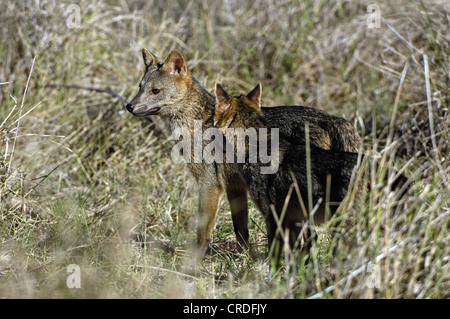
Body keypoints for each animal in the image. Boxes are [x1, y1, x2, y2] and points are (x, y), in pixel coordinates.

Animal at [125, 48, 362, 260]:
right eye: (140, 88)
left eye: (155, 91)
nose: (129, 106)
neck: (199, 122)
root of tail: (334, 119)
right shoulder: (235, 186)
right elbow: (241, 231)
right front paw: (244, 259)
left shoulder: (210, 184)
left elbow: (203, 234)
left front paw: (193, 263)